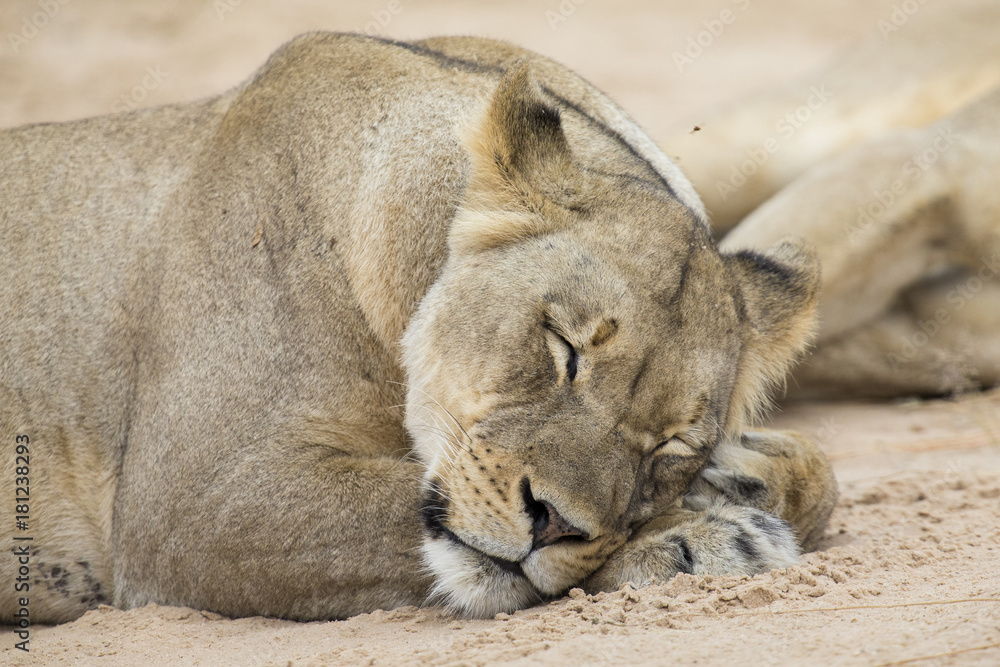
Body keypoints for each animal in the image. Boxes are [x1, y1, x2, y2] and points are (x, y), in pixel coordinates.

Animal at [2, 32, 844, 625]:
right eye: (562, 347)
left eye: (670, 445)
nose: (552, 524)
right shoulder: (191, 505)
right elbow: (390, 508)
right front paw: (700, 535)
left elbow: (821, 472)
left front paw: (734, 482)